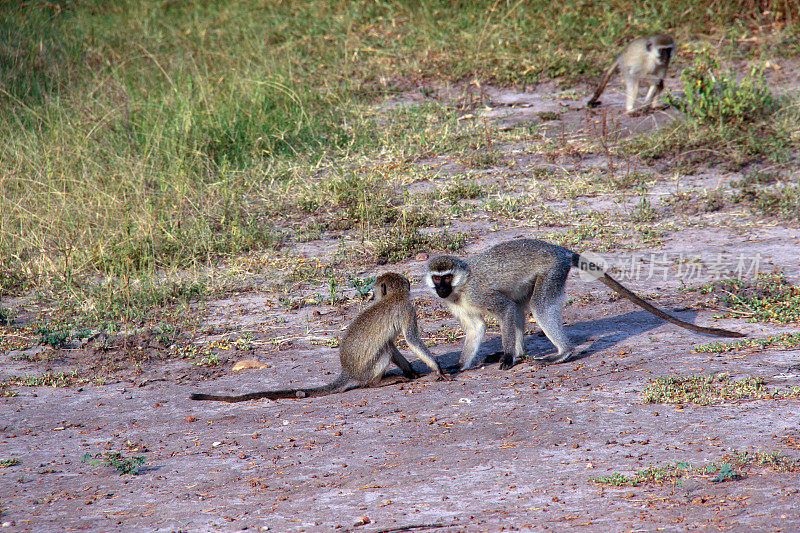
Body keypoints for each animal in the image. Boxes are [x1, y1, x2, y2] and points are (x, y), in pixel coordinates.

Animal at [191, 272, 446, 402]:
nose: (373, 295)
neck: (391, 298)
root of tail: (348, 373)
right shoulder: (407, 309)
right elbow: (411, 340)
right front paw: (437, 369)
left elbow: (393, 345)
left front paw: (411, 370)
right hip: (367, 370)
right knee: (379, 356)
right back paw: (378, 382)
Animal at [428, 239, 748, 372]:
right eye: (436, 278)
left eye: (447, 277)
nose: (441, 290)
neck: (460, 286)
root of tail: (560, 250)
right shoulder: (459, 304)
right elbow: (476, 327)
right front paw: (460, 366)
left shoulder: (477, 293)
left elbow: (504, 309)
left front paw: (508, 357)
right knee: (522, 305)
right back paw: (523, 352)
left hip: (552, 271)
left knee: (537, 307)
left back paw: (562, 353)